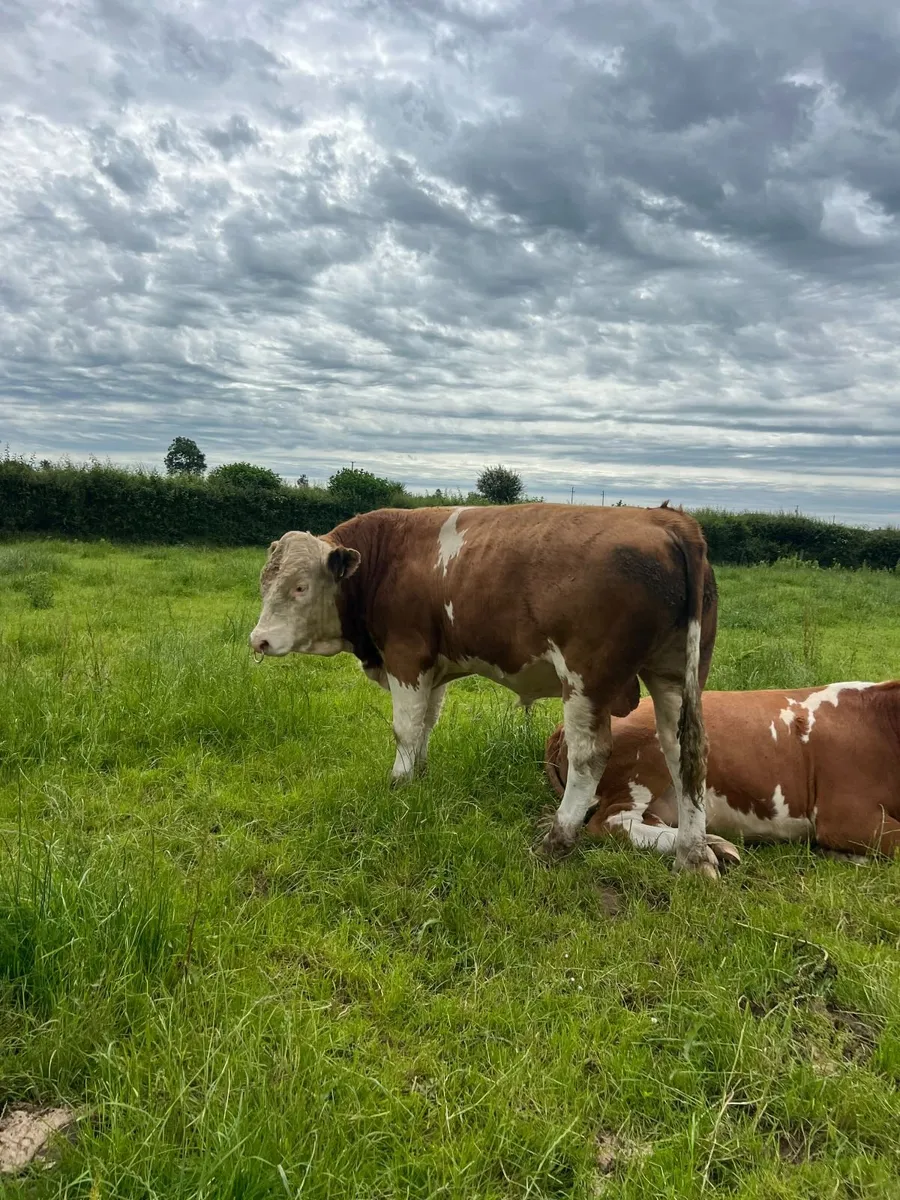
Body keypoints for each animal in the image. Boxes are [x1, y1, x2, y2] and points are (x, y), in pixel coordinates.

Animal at [249, 502, 723, 877]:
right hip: (674, 674)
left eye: (299, 586)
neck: (388, 557)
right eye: (264, 583)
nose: (259, 640)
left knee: (589, 756)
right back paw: (693, 855)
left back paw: (557, 839)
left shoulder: (406, 655)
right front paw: (418, 777)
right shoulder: (432, 667)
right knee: (685, 753)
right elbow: (425, 724)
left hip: (586, 679)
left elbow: (405, 728)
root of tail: (666, 519)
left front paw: (398, 783)